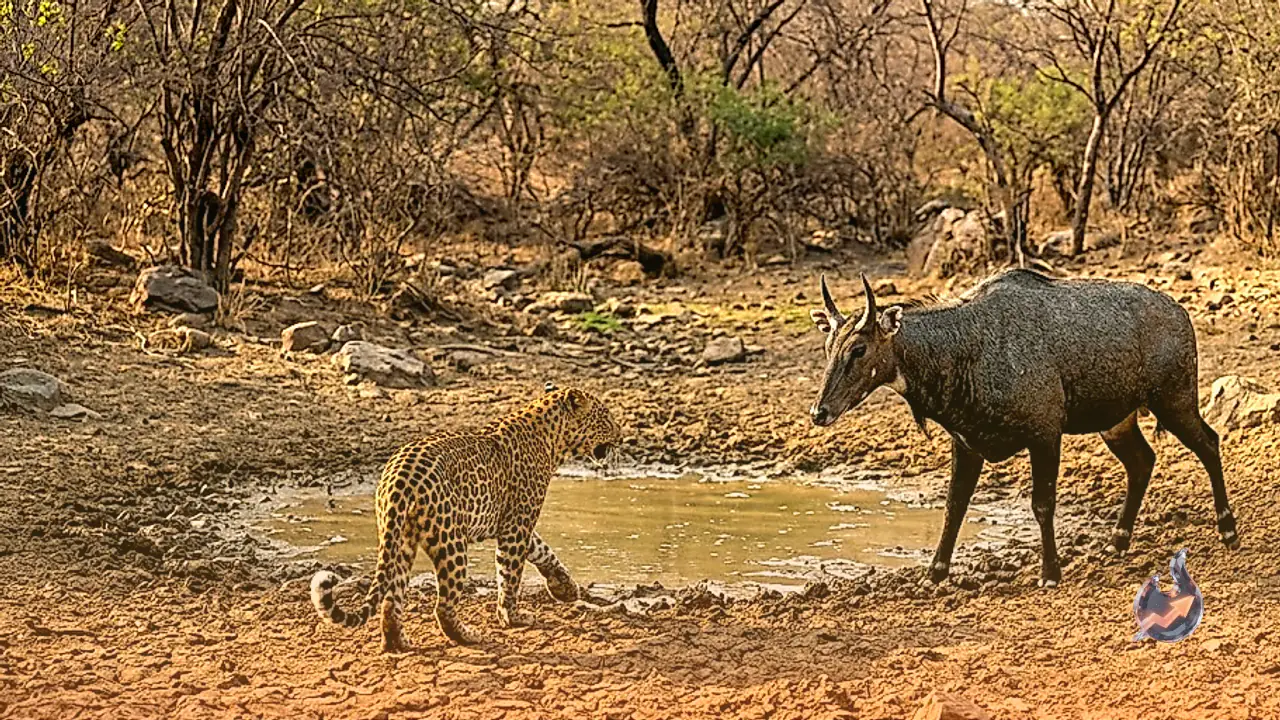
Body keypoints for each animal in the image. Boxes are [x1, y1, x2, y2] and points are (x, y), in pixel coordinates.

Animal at [309, 384, 622, 652]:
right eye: (606, 416)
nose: (621, 434)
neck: (552, 438)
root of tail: (400, 476)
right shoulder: (516, 524)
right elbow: (510, 575)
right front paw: (513, 617)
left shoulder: (514, 522)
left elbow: (542, 550)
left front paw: (565, 588)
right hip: (451, 542)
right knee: (443, 606)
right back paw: (469, 636)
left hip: (399, 538)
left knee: (390, 599)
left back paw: (398, 643)